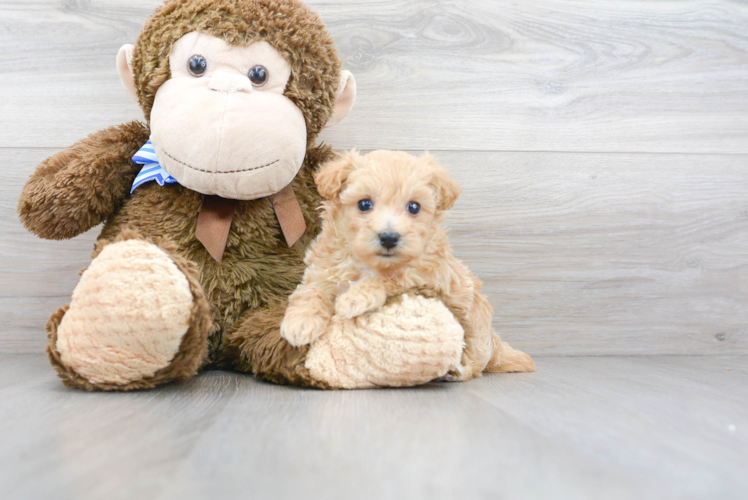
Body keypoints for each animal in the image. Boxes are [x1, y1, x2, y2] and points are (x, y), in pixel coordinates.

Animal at [280, 150, 532, 380]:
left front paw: (355, 297)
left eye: (414, 207)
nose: (389, 237)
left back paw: (455, 371)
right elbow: (312, 292)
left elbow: (388, 279)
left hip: (475, 336)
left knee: (473, 365)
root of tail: (495, 343)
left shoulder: (426, 277)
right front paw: (299, 323)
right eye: (364, 204)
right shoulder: (324, 270)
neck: (370, 262)